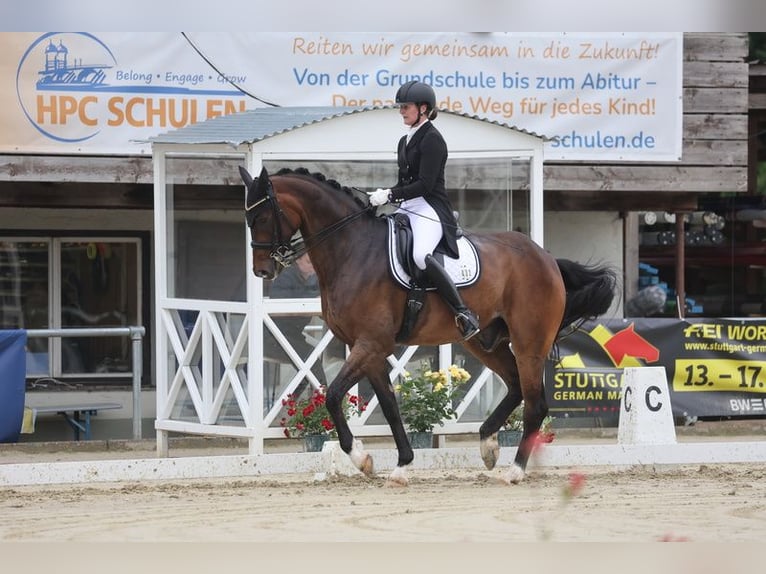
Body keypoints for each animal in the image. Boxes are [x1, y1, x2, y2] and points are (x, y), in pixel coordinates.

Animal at [243, 166, 620, 486]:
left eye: (262, 216)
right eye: (248, 218)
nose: (263, 271)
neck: (352, 250)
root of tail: (546, 258)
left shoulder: (370, 343)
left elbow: (334, 396)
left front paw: (359, 457)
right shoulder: (372, 349)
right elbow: (390, 406)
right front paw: (399, 465)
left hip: (530, 342)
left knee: (535, 403)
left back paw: (514, 470)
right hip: (483, 341)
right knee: (514, 386)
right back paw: (488, 444)